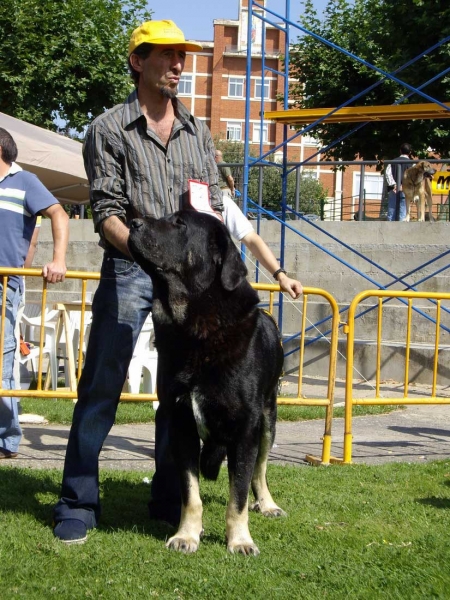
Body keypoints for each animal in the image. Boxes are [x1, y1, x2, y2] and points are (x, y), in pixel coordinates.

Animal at [128, 209, 286, 556]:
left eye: (179, 223)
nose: (132, 223)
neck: (196, 330)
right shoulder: (181, 423)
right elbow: (191, 494)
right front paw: (186, 535)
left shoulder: (246, 428)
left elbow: (238, 494)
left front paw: (240, 540)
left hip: (268, 421)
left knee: (260, 471)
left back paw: (267, 504)